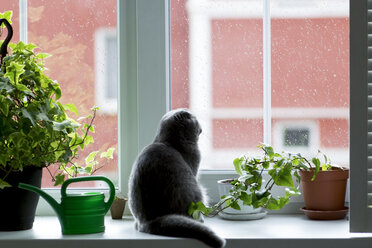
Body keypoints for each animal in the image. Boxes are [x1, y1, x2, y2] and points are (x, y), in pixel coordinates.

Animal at [128, 109, 227, 247]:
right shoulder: (194, 164)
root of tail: (149, 222)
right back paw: (200, 220)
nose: (200, 126)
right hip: (197, 190)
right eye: (195, 119)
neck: (169, 142)